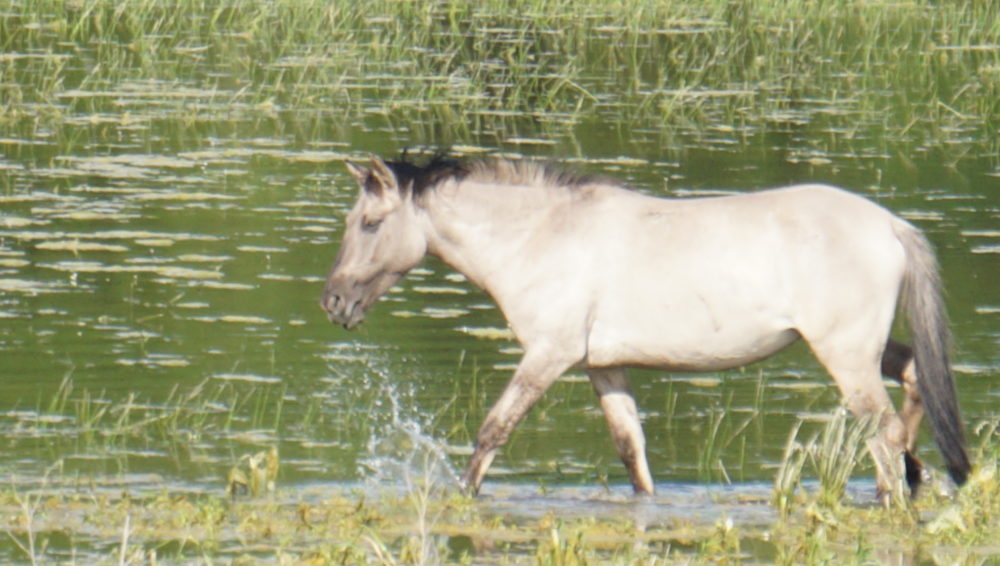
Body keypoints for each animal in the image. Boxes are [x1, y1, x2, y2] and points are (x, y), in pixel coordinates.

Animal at [320, 154, 968, 502]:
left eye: (371, 223)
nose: (334, 302)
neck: (543, 235)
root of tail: (888, 224)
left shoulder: (548, 356)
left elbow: (491, 433)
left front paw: (461, 497)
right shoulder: (603, 368)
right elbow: (632, 453)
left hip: (845, 356)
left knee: (882, 431)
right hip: (864, 350)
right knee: (913, 383)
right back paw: (914, 480)